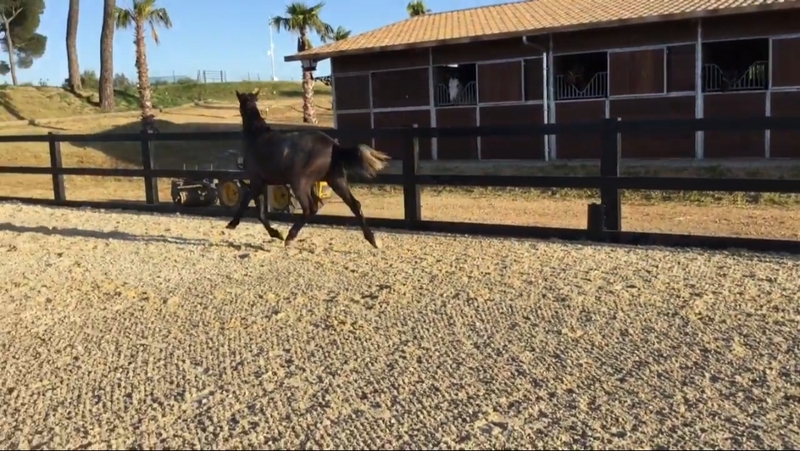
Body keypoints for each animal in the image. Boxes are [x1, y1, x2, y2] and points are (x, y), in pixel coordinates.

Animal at [226, 88, 391, 248]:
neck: (258, 138)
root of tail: (333, 145)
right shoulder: (262, 183)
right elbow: (257, 209)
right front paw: (274, 233)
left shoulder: (256, 181)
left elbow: (250, 205)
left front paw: (233, 225)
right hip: (335, 180)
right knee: (353, 205)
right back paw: (373, 240)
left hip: (300, 183)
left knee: (310, 208)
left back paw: (289, 237)